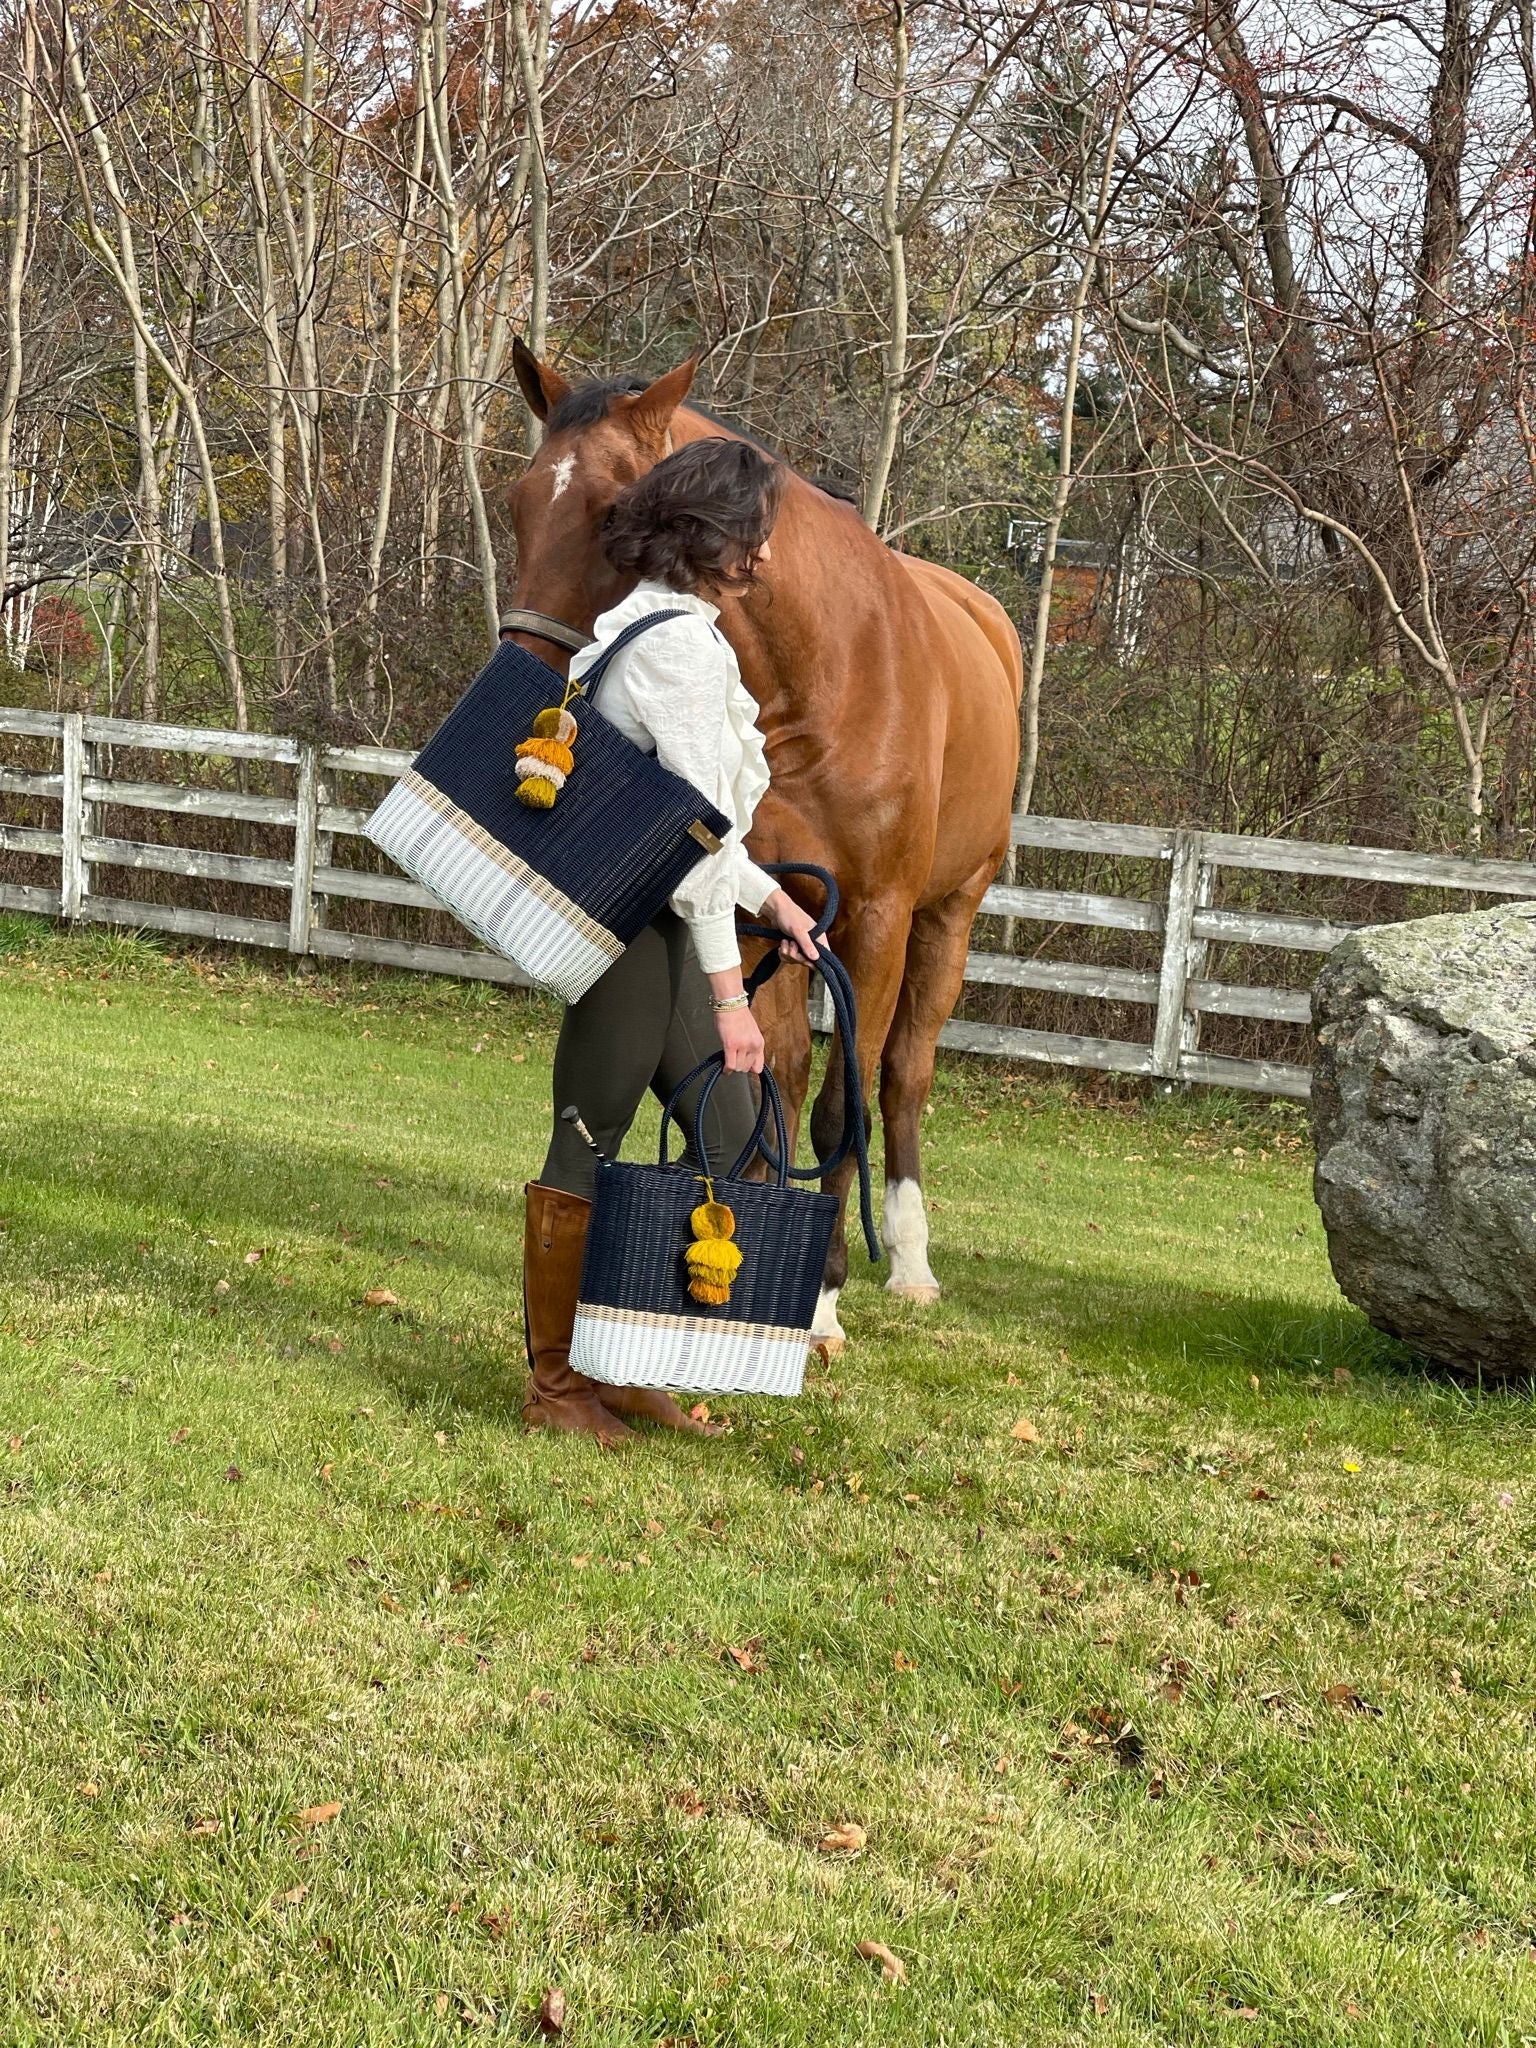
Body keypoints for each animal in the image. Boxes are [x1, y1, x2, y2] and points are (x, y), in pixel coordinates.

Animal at [505, 348, 1024, 1343]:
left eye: (612, 513)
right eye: (518, 499)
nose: (528, 674)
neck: (824, 674)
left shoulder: (876, 919)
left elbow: (842, 1105)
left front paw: (821, 1299)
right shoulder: (771, 912)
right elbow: (774, 1085)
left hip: (950, 915)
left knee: (905, 1077)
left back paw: (909, 1261)